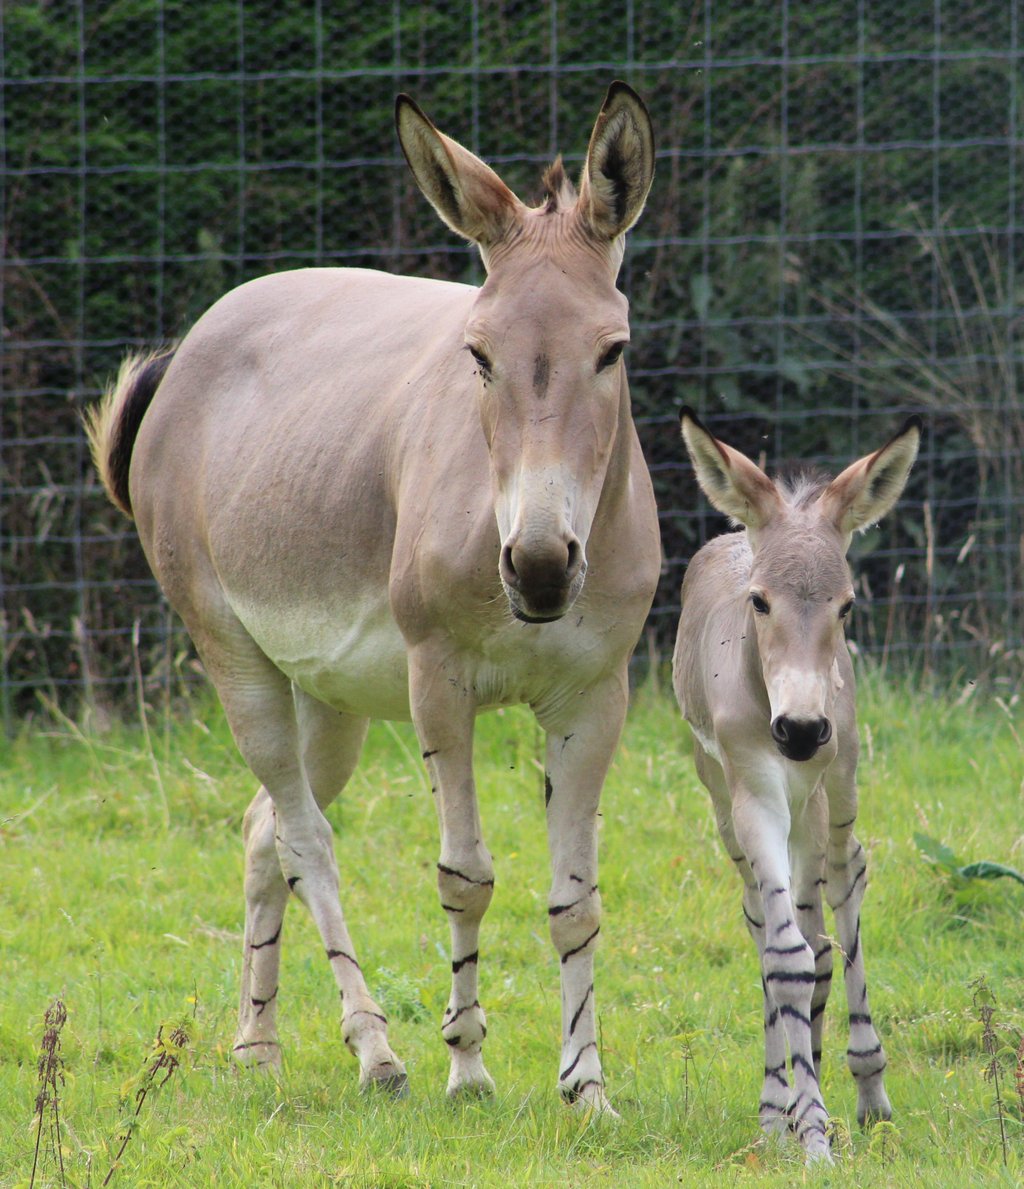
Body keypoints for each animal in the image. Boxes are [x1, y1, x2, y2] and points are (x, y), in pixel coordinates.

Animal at [86, 82, 660, 1112]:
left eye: (614, 350)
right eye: (476, 354)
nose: (540, 568)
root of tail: (197, 339)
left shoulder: (596, 696)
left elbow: (577, 898)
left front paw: (587, 1087)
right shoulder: (440, 683)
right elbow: (465, 874)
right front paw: (466, 1066)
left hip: (327, 695)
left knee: (262, 829)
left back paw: (257, 1048)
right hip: (235, 657)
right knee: (306, 837)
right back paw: (375, 1050)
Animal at [672, 408, 919, 1159]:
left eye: (846, 607)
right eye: (759, 601)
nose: (803, 731)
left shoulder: (829, 782)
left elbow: (824, 930)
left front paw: (835, 1110)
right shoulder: (754, 792)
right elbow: (784, 955)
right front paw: (801, 1124)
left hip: (828, 799)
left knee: (838, 888)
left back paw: (859, 1084)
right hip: (728, 803)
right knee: (772, 922)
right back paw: (774, 1102)